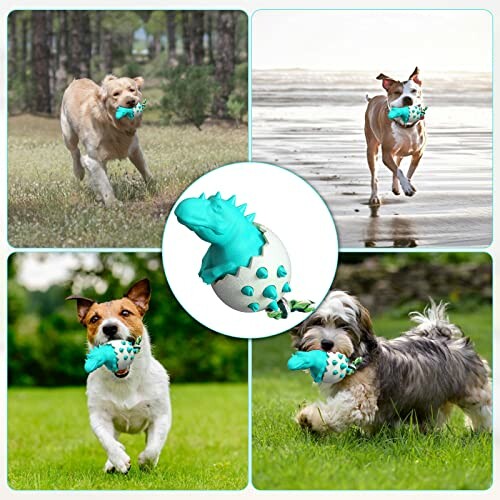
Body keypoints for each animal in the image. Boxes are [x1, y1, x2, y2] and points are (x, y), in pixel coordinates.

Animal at [60, 73, 152, 205]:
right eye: (116, 94)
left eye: (132, 90)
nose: (131, 101)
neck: (114, 126)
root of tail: (77, 80)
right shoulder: (93, 159)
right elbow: (104, 183)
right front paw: (112, 203)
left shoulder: (135, 150)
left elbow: (145, 170)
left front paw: (153, 186)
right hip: (69, 135)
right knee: (75, 151)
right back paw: (79, 171)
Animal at [67, 280, 172, 474]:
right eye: (94, 318)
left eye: (125, 313)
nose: (109, 327)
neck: (125, 381)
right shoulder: (99, 416)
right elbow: (107, 441)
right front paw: (119, 459)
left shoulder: (160, 416)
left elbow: (153, 447)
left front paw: (146, 462)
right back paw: (112, 463)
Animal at [292, 292, 492, 432]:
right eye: (318, 322)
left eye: (344, 326)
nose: (327, 343)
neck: (358, 356)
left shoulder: (360, 398)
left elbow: (340, 408)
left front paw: (310, 419)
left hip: (473, 391)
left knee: (483, 408)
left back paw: (483, 431)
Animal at [364, 67, 426, 205]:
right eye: (397, 92)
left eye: (414, 90)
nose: (408, 98)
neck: (406, 127)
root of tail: (373, 99)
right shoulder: (387, 154)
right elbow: (399, 171)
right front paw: (407, 187)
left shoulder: (418, 153)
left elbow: (407, 172)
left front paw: (408, 186)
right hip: (372, 149)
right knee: (375, 176)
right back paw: (374, 197)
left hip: (399, 153)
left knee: (397, 164)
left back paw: (396, 188)